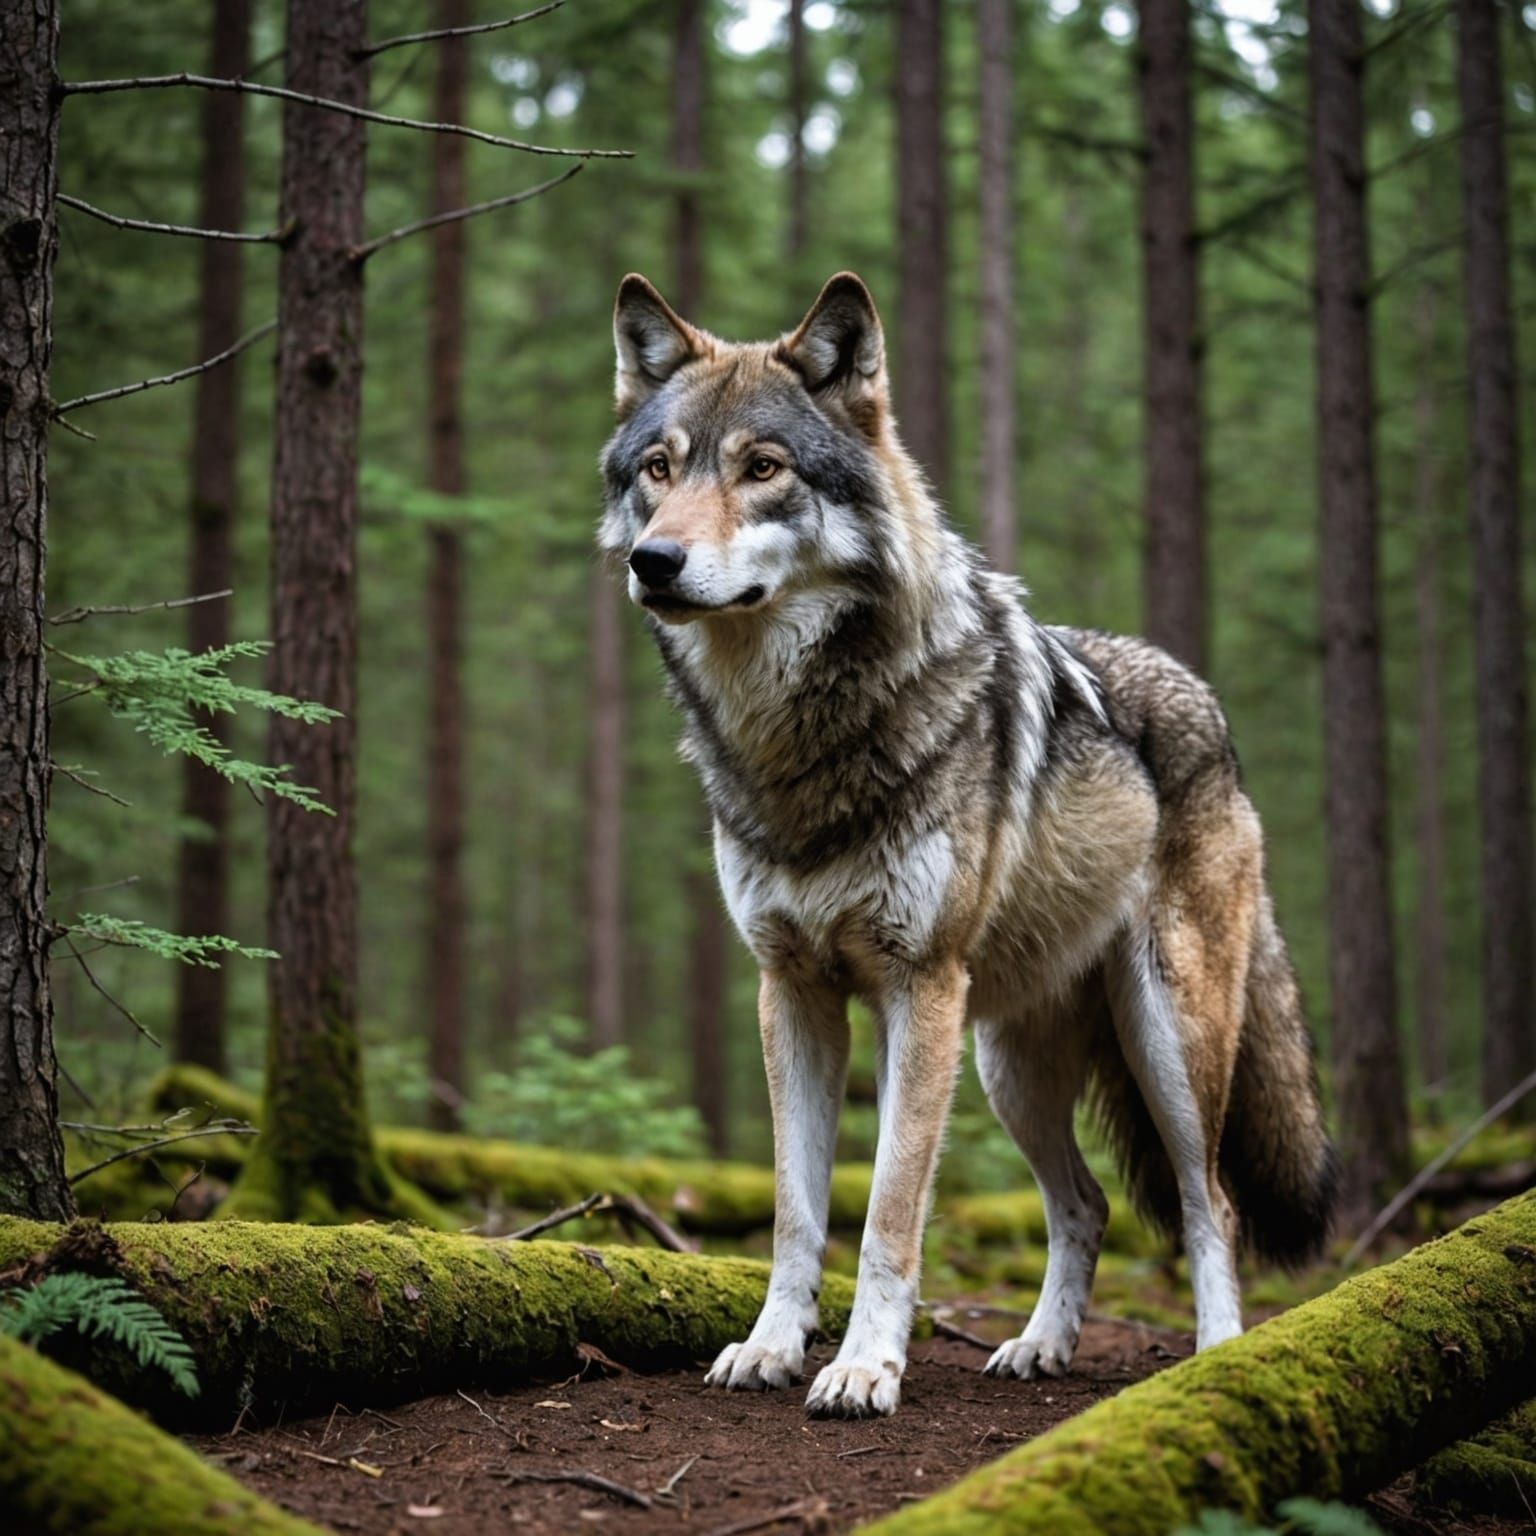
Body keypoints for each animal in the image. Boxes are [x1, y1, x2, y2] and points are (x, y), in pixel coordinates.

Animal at [598, 271, 1337, 1419]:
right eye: (660, 469)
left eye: (763, 469)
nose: (654, 561)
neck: (800, 738)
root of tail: (1206, 701)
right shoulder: (791, 991)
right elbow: (796, 1211)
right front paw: (772, 1347)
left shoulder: (919, 989)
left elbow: (890, 1210)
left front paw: (864, 1367)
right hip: (1007, 1067)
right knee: (1086, 1205)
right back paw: (1039, 1347)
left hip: (1163, 1038)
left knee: (1205, 1197)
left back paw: (1216, 1355)